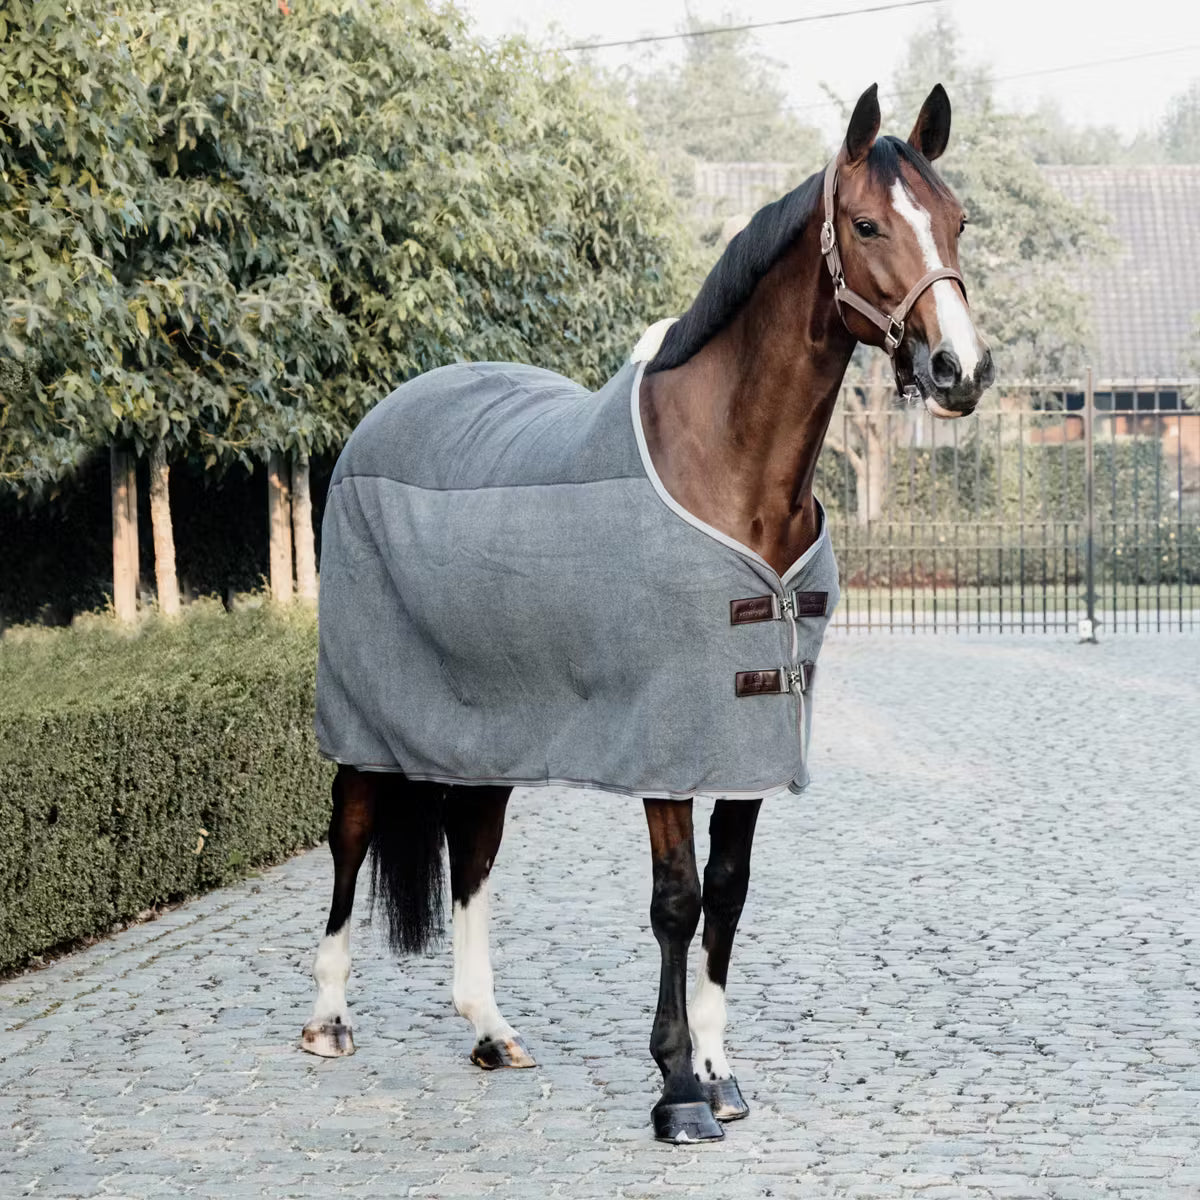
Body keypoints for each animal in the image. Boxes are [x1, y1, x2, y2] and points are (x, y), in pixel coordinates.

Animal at [300, 83, 995, 1143]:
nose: (961, 367)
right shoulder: (663, 737)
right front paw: (676, 1090)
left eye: (957, 220)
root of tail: (383, 417)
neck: (730, 469)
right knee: (353, 828)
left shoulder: (747, 732)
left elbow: (727, 896)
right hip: (369, 710)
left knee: (474, 846)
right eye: (869, 223)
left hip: (489, 719)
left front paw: (719, 1070)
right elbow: (676, 901)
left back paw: (490, 1029)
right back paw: (328, 1019)